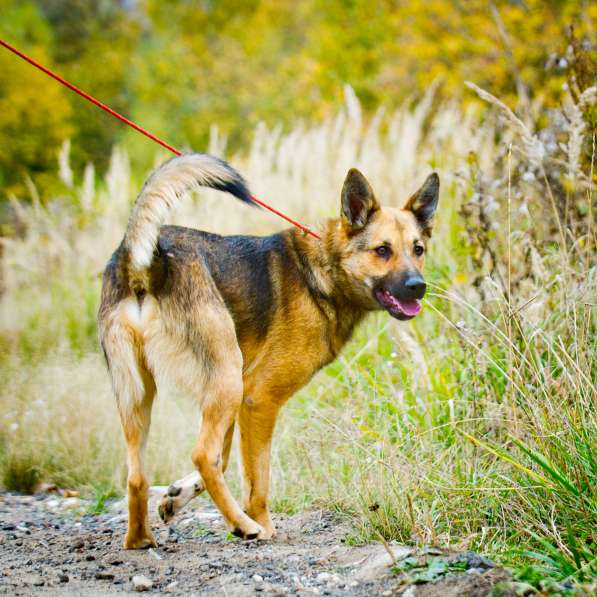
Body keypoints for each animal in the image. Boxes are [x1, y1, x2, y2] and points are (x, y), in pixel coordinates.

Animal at [98, 151, 438, 548]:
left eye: (418, 250)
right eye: (382, 251)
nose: (418, 286)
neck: (321, 269)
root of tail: (144, 262)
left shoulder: (235, 403)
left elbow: (226, 455)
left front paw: (176, 496)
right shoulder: (257, 399)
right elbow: (254, 479)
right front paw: (259, 522)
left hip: (141, 395)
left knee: (138, 476)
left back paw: (139, 538)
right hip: (224, 379)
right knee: (202, 455)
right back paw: (243, 525)